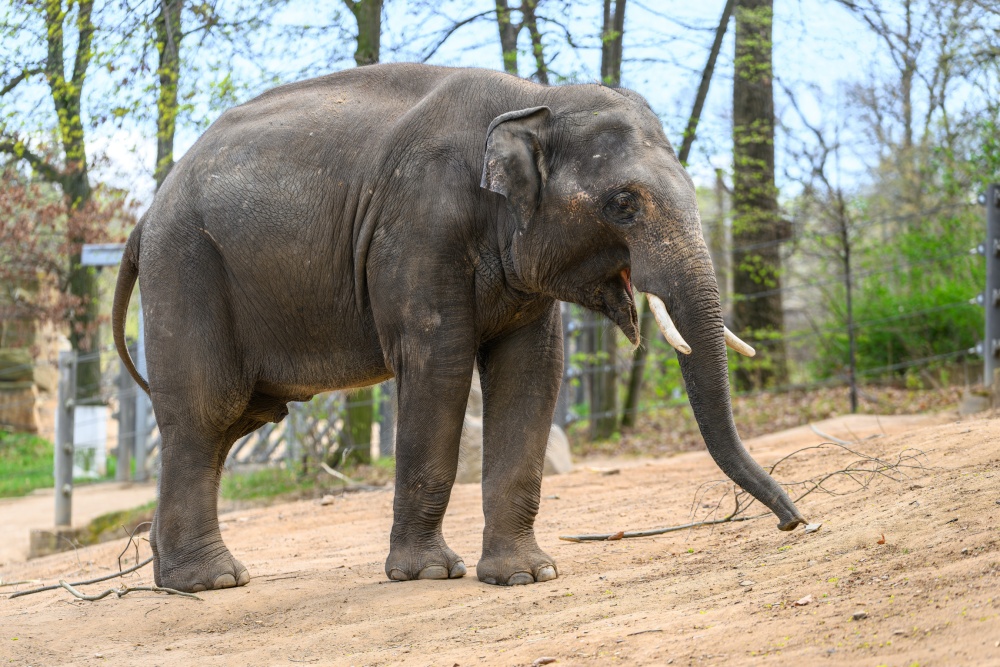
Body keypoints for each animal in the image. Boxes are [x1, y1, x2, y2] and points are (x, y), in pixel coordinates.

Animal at [113, 62, 808, 592]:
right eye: (623, 204)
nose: (794, 524)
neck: (533, 99)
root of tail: (145, 216)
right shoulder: (420, 228)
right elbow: (439, 366)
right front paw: (427, 574)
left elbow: (534, 372)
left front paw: (526, 576)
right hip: (187, 268)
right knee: (207, 411)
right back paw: (211, 581)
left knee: (235, 422)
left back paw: (177, 576)